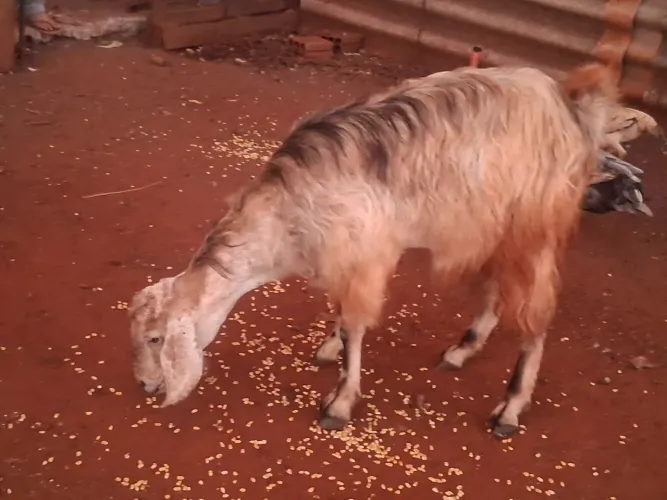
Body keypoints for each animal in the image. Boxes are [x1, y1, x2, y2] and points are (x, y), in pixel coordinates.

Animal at [129, 62, 618, 439]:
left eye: (156, 338)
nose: (144, 384)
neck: (287, 217)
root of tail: (573, 110)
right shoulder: (342, 256)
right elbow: (341, 314)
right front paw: (328, 348)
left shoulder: (363, 257)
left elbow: (355, 327)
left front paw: (339, 402)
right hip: (496, 226)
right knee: (498, 289)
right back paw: (463, 349)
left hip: (536, 226)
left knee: (535, 315)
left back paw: (510, 408)